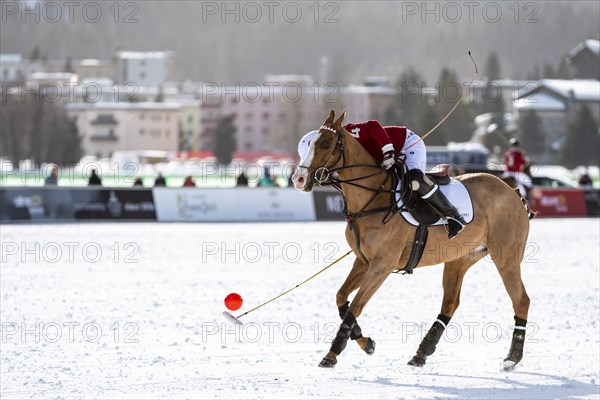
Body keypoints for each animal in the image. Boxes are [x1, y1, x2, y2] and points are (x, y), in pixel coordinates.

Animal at [292, 110, 532, 372]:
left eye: (326, 144)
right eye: (309, 144)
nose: (299, 179)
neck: (372, 198)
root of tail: (514, 193)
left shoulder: (382, 265)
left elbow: (355, 305)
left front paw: (332, 354)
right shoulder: (363, 261)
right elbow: (341, 297)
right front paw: (367, 343)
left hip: (506, 256)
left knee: (521, 300)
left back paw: (512, 358)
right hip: (460, 259)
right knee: (450, 303)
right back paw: (421, 353)